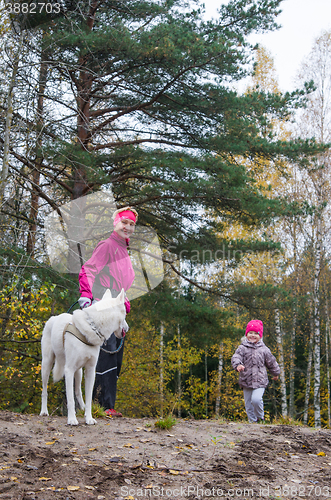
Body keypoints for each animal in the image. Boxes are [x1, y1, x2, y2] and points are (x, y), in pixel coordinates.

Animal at [39, 288, 127, 424]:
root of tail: (53, 318)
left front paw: (89, 418)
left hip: (79, 372)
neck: (93, 327)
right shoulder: (69, 370)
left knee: (78, 392)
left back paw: (82, 409)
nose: (127, 328)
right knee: (44, 390)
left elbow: (88, 398)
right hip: (47, 365)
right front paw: (71, 419)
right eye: (125, 315)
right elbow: (70, 399)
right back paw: (44, 411)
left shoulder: (90, 371)